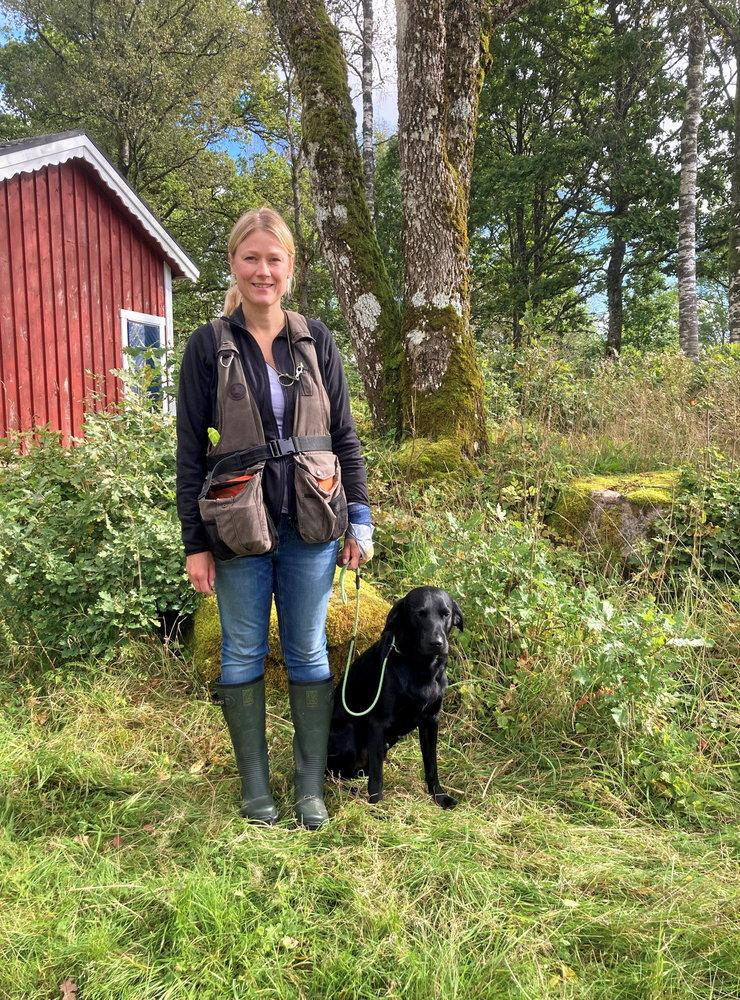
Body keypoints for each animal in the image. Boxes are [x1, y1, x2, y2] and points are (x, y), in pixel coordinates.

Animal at [328, 588, 462, 808]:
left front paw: (439, 796)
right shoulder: (377, 723)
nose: (437, 643)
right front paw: (376, 806)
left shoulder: (431, 721)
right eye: (419, 614)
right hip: (348, 737)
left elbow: (431, 765)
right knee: (334, 772)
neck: (420, 668)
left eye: (446, 614)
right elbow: (377, 778)